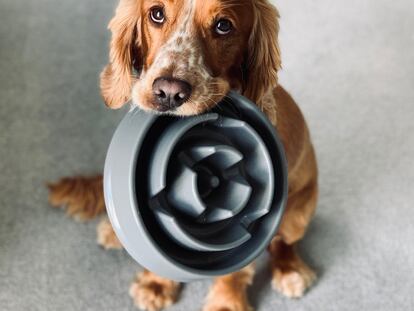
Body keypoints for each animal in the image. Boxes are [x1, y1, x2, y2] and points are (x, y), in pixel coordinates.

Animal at [49, 1, 320, 310]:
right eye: (156, 13)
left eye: (223, 26)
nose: (168, 92)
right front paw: (157, 284)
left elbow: (236, 267)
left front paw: (226, 302)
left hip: (299, 212)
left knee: (284, 242)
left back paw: (291, 270)